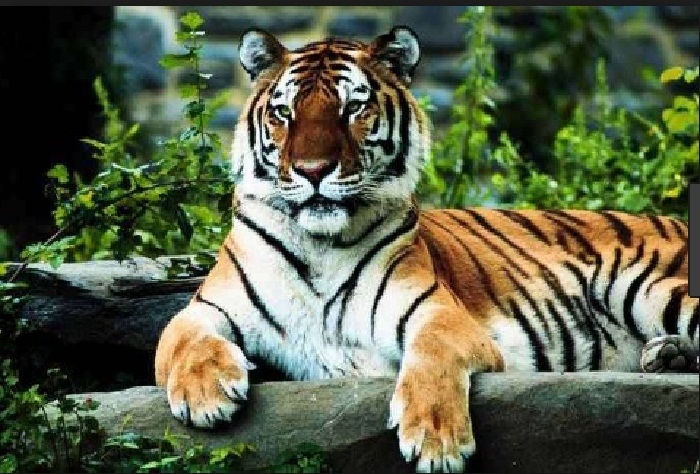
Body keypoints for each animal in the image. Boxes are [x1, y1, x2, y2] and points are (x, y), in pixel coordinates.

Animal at [154, 26, 699, 473]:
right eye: (284, 113)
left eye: (353, 108)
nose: (312, 170)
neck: (320, 246)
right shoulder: (207, 307)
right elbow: (180, 338)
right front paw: (205, 396)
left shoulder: (438, 312)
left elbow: (431, 354)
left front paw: (437, 442)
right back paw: (666, 355)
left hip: (640, 284)